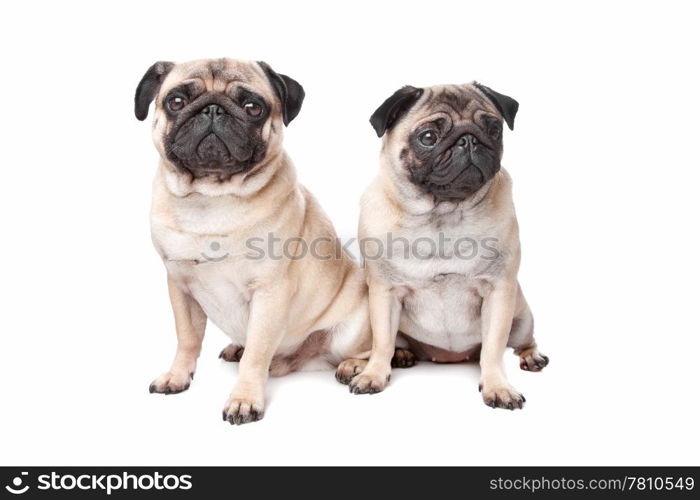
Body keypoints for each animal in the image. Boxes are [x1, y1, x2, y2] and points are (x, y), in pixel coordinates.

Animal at [137, 59, 378, 426]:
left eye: (253, 107)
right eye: (176, 101)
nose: (212, 109)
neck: (212, 199)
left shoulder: (269, 292)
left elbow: (257, 354)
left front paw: (244, 399)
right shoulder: (180, 286)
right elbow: (187, 339)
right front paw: (177, 376)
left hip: (353, 329)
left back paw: (354, 366)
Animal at [348, 82, 548, 408]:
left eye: (494, 129)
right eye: (428, 137)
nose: (469, 139)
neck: (442, 215)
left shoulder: (499, 291)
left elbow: (493, 349)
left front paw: (498, 386)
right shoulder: (384, 293)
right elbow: (382, 342)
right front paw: (373, 374)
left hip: (521, 319)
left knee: (522, 342)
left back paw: (532, 357)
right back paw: (401, 355)